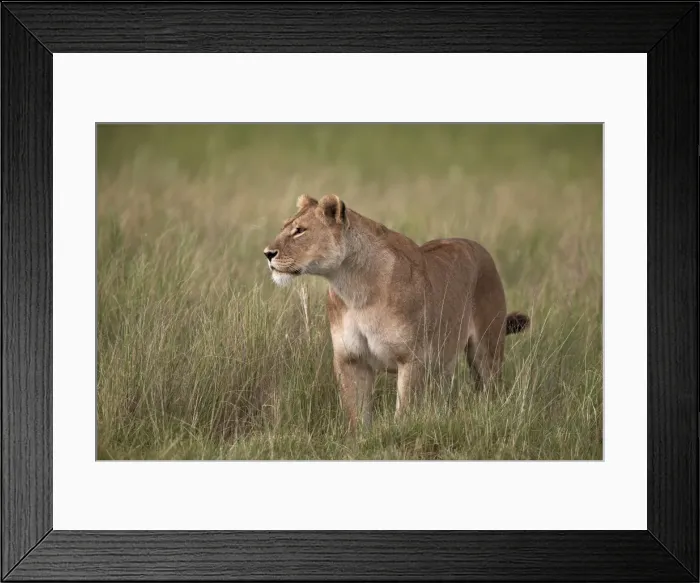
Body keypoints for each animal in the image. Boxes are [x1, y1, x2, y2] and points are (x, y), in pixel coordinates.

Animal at [263, 194, 530, 431]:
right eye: (284, 227)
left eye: (299, 231)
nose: (267, 253)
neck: (353, 289)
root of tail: (480, 249)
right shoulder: (351, 359)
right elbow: (355, 415)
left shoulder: (411, 358)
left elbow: (405, 412)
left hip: (487, 351)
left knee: (491, 389)